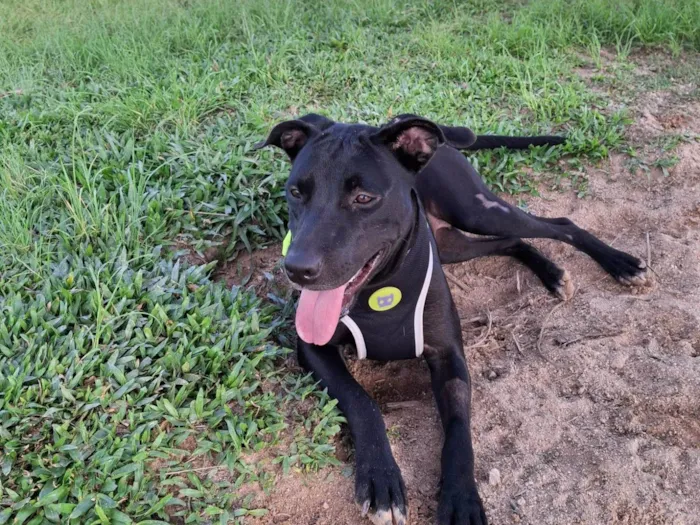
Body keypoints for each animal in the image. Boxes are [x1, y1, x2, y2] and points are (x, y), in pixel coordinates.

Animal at [254, 112, 648, 520]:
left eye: (364, 198)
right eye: (295, 193)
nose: (296, 269)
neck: (380, 289)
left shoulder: (449, 356)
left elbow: (459, 431)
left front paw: (461, 497)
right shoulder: (313, 348)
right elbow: (361, 401)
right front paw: (381, 478)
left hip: (477, 211)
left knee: (559, 224)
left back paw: (619, 263)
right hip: (452, 243)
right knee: (511, 242)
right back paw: (552, 272)